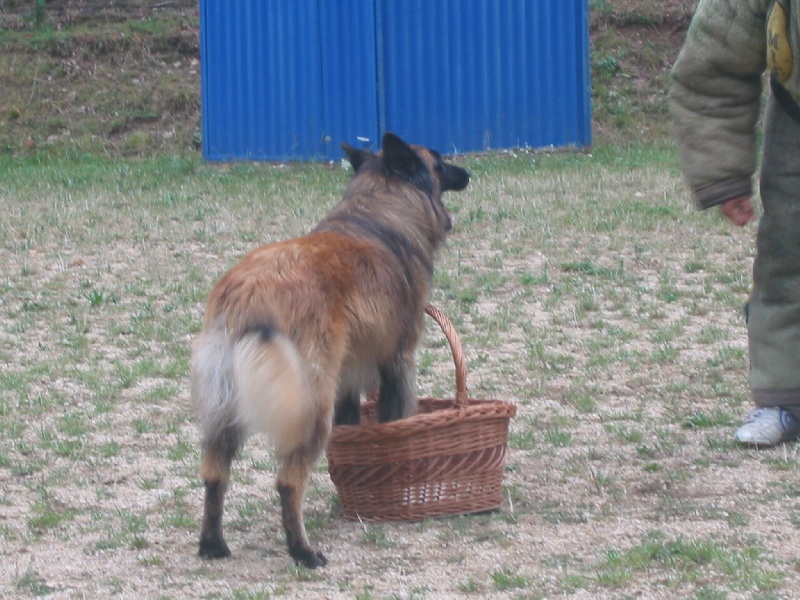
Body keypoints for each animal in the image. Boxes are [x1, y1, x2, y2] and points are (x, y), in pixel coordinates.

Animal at [191, 132, 470, 568]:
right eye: (440, 162)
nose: (469, 173)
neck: (381, 206)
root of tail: (250, 290)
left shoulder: (348, 381)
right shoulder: (398, 360)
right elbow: (395, 419)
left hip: (225, 406)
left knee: (214, 474)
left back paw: (213, 544)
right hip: (310, 402)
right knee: (288, 481)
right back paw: (303, 551)